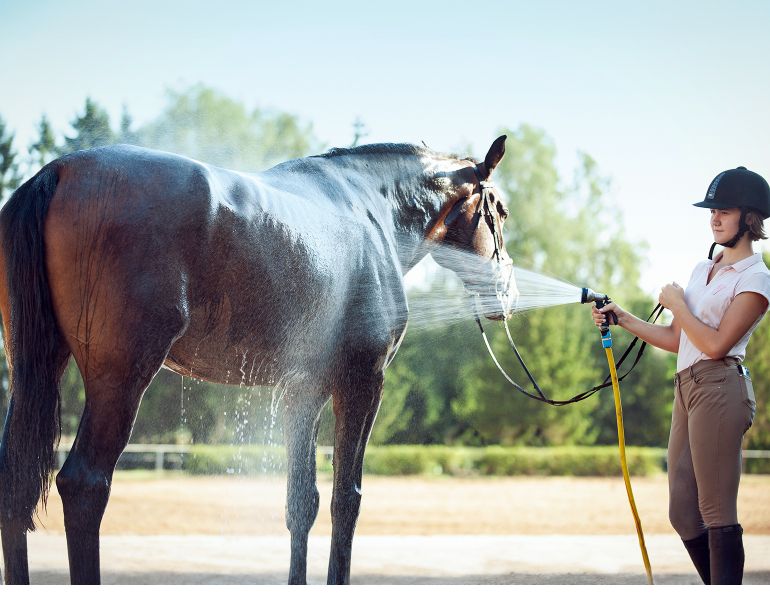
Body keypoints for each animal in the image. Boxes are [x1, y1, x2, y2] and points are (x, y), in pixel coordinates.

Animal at [0, 135, 514, 584]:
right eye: (501, 211)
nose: (508, 291)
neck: (373, 209)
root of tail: (58, 172)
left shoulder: (303, 391)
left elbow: (301, 501)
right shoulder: (363, 382)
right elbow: (346, 499)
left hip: (32, 370)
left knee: (15, 479)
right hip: (120, 380)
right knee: (85, 485)